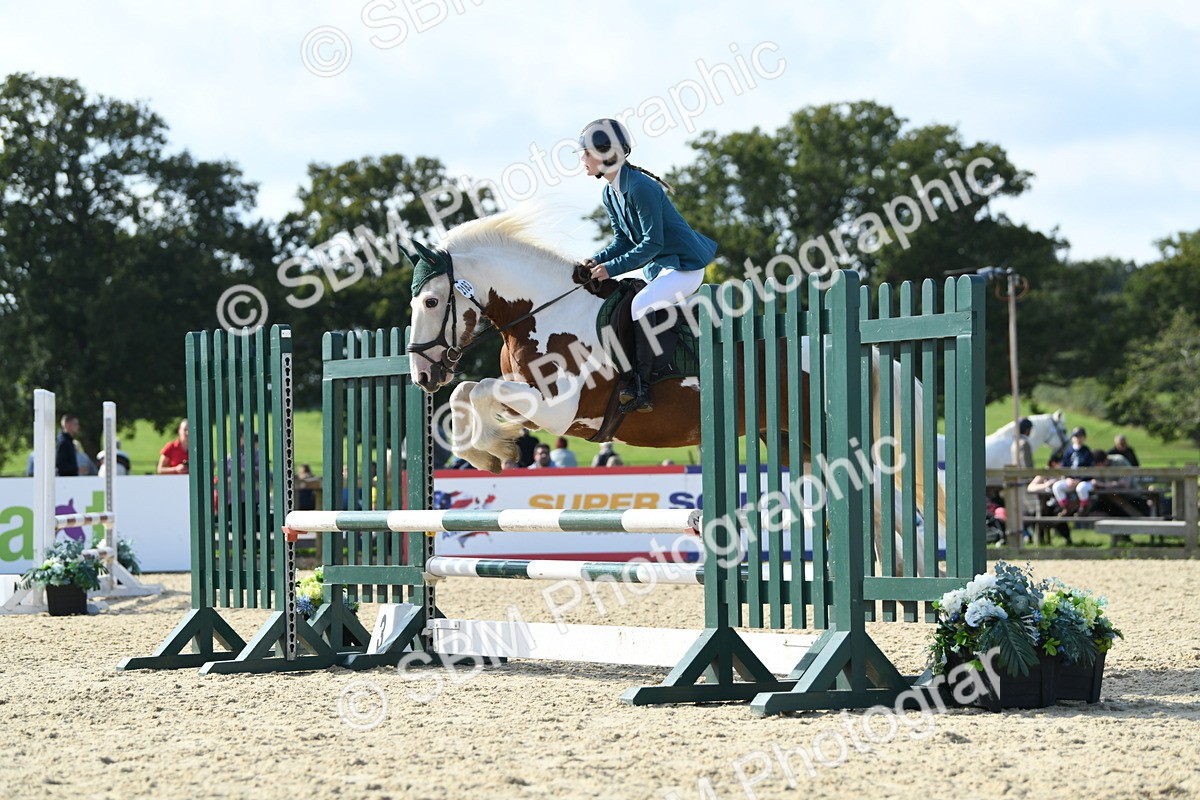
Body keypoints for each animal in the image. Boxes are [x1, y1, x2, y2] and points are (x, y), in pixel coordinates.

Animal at [405, 207, 946, 571]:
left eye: (431, 301)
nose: (421, 376)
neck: (542, 313)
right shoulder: (531, 401)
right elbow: (466, 394)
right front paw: (490, 453)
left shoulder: (557, 409)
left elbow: (475, 391)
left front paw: (494, 452)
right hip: (797, 443)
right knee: (876, 505)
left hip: (833, 441)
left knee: (884, 500)